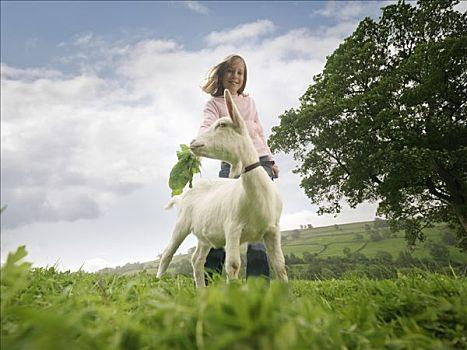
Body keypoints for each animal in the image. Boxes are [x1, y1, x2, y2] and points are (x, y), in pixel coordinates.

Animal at [158, 88, 288, 288]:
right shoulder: (232, 228)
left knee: (196, 260)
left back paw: (201, 290)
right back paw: (155, 284)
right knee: (167, 254)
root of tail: (182, 196)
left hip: (204, 235)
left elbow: (280, 265)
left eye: (222, 124)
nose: (193, 142)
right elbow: (233, 265)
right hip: (181, 224)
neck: (254, 195)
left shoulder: (273, 230)